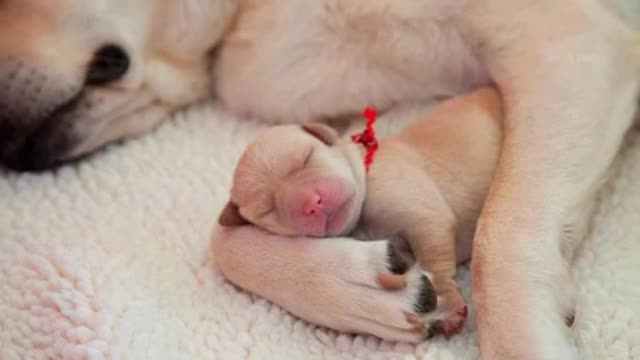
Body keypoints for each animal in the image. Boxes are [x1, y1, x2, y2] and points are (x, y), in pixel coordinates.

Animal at [219, 86, 504, 338]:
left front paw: (449, 303)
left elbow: (433, 252)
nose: (312, 202)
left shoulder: (419, 212)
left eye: (306, 158)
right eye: (268, 208)